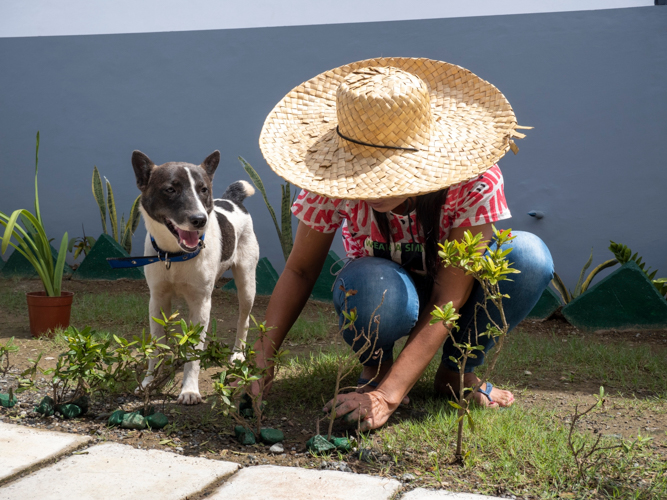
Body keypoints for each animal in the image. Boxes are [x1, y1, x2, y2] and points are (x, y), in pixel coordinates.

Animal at [131, 150, 258, 404]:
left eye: (203, 189)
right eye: (171, 189)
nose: (200, 220)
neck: (174, 255)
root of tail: (232, 200)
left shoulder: (201, 303)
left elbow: (193, 351)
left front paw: (189, 390)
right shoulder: (157, 299)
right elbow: (157, 347)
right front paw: (150, 382)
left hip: (247, 283)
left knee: (244, 319)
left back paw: (238, 353)